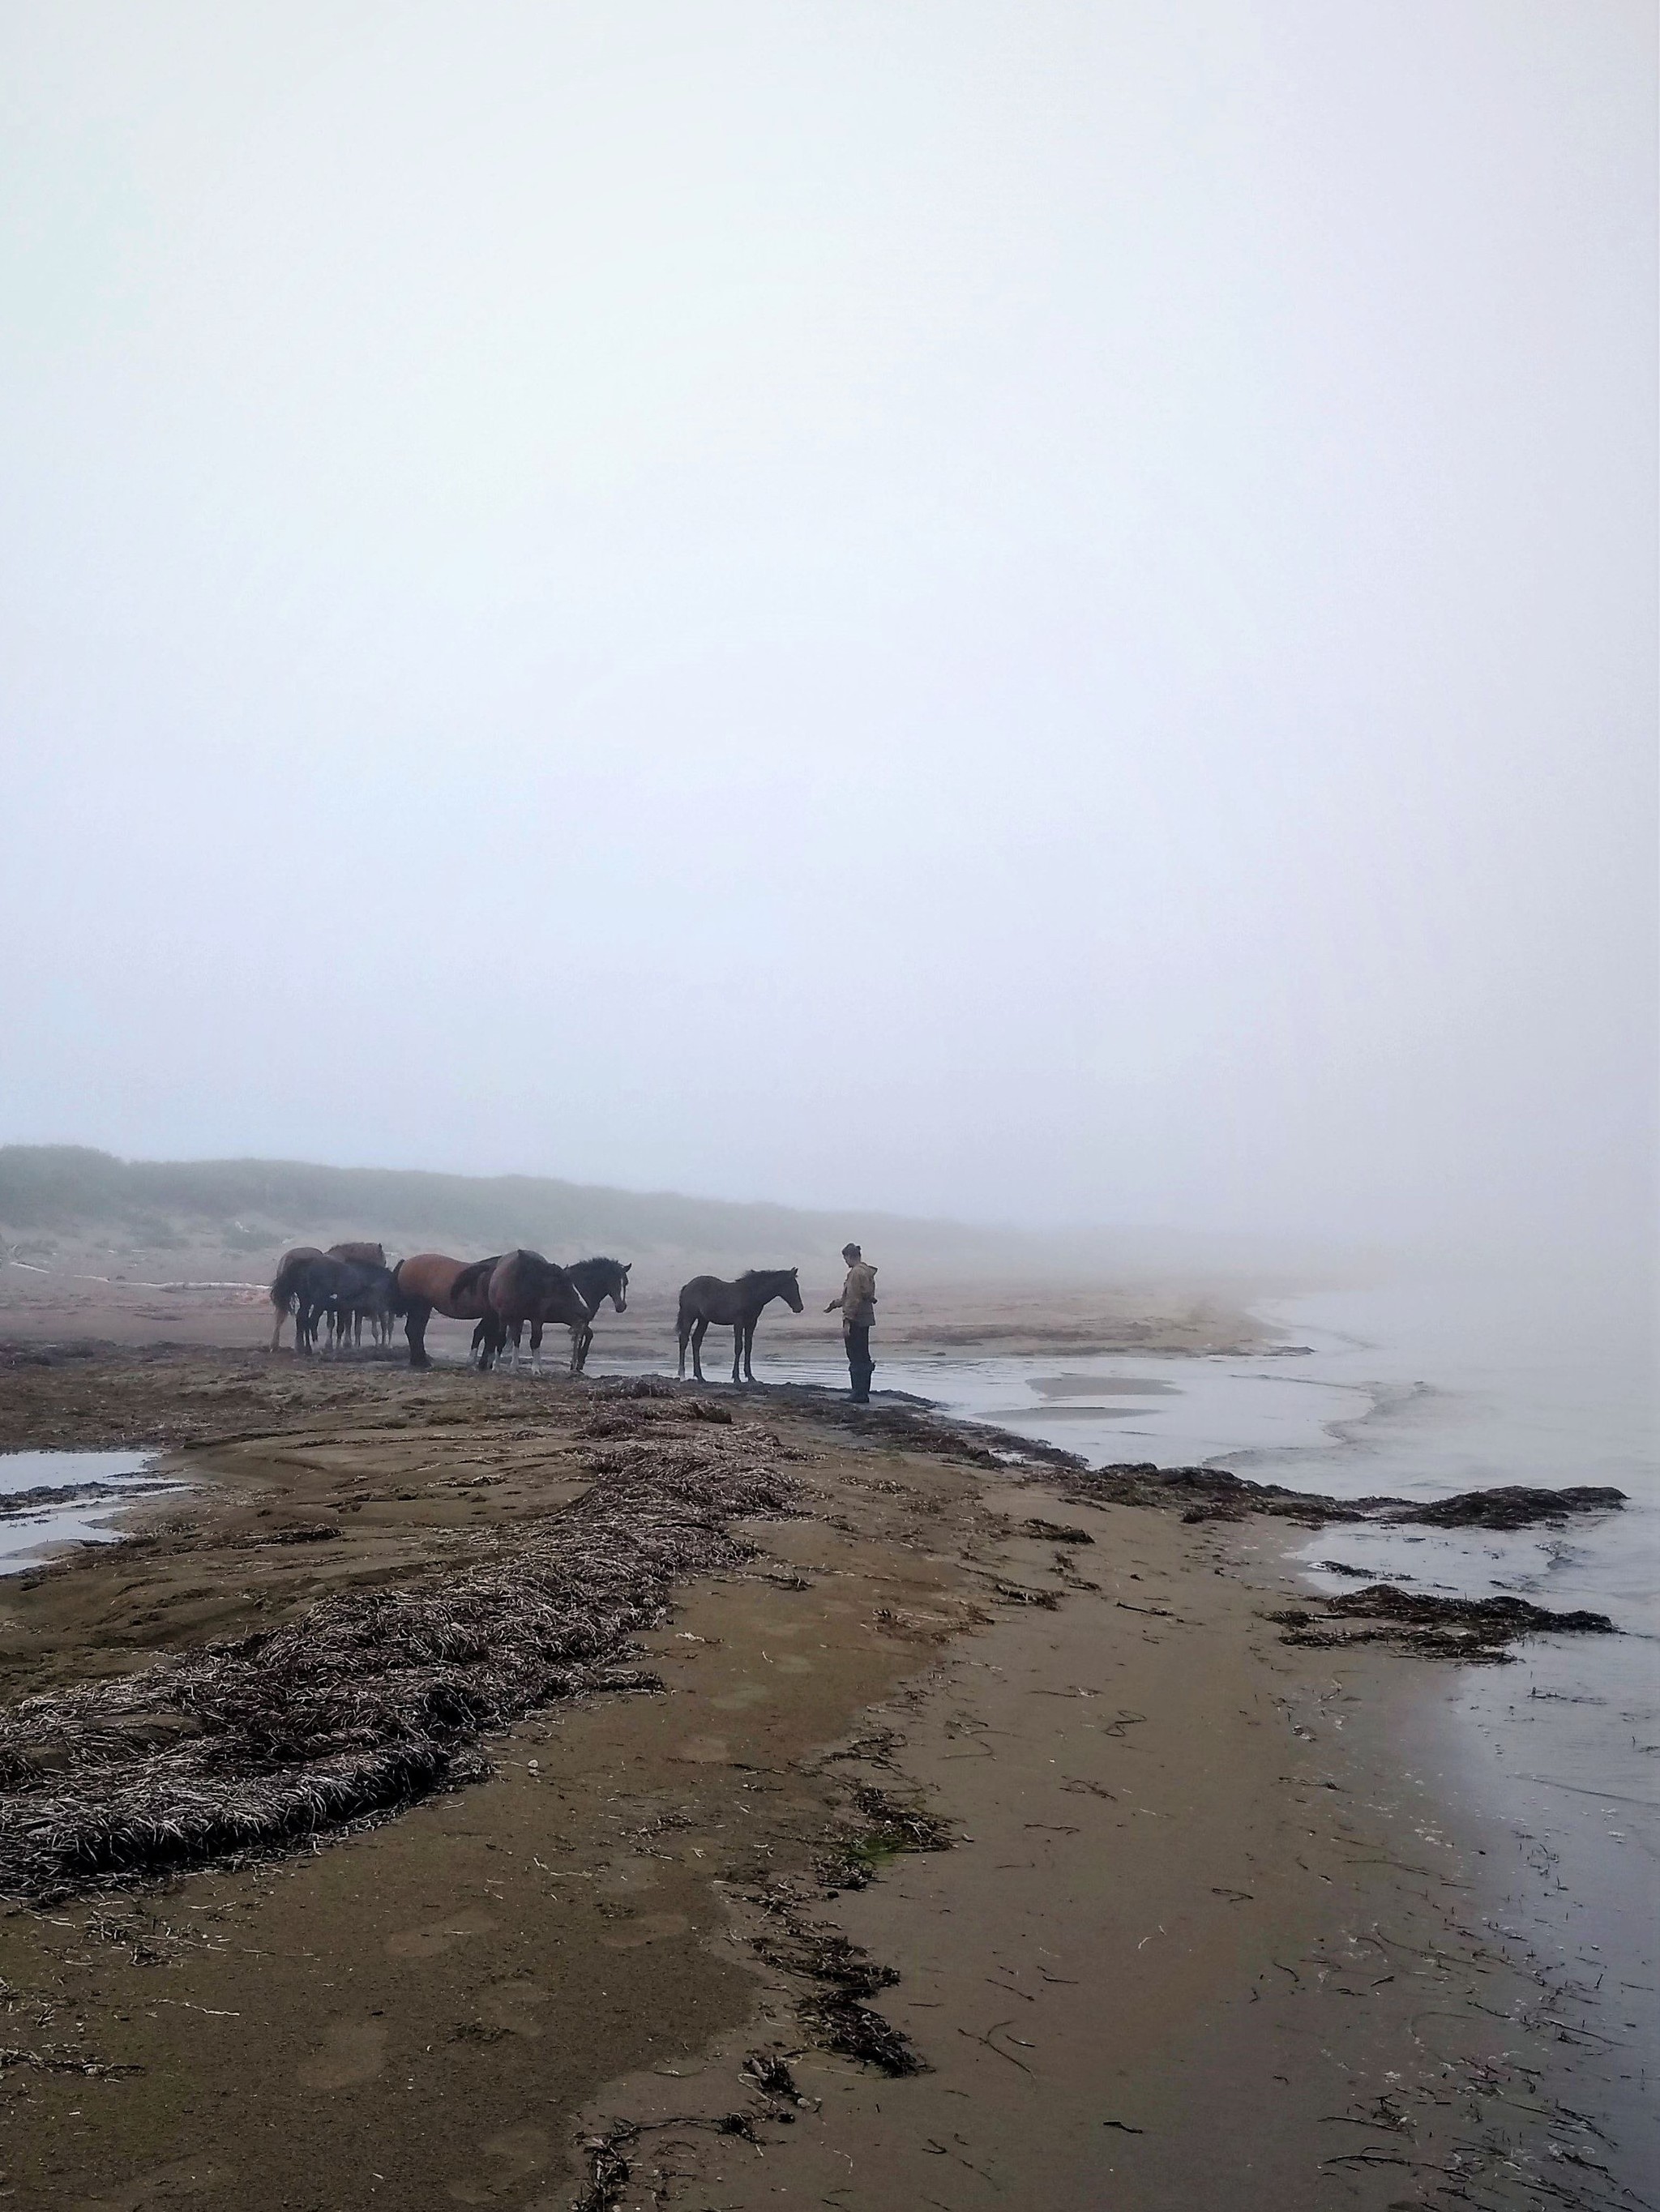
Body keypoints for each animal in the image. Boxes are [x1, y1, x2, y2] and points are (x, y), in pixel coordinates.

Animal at [394, 1247, 504, 1363]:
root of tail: (405, 1263)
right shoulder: (492, 1316)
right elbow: (490, 1338)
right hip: (419, 1307)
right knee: (414, 1330)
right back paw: (421, 1361)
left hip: (424, 1307)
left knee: (416, 1331)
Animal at [677, 1264, 805, 1380]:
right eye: (793, 1286)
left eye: (797, 1286)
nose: (799, 1308)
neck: (750, 1294)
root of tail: (687, 1286)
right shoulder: (738, 1322)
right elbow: (738, 1347)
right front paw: (736, 1377)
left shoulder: (752, 1323)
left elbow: (748, 1347)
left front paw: (750, 1376)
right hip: (689, 1317)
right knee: (684, 1339)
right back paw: (682, 1373)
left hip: (703, 1320)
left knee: (696, 1340)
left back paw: (699, 1375)